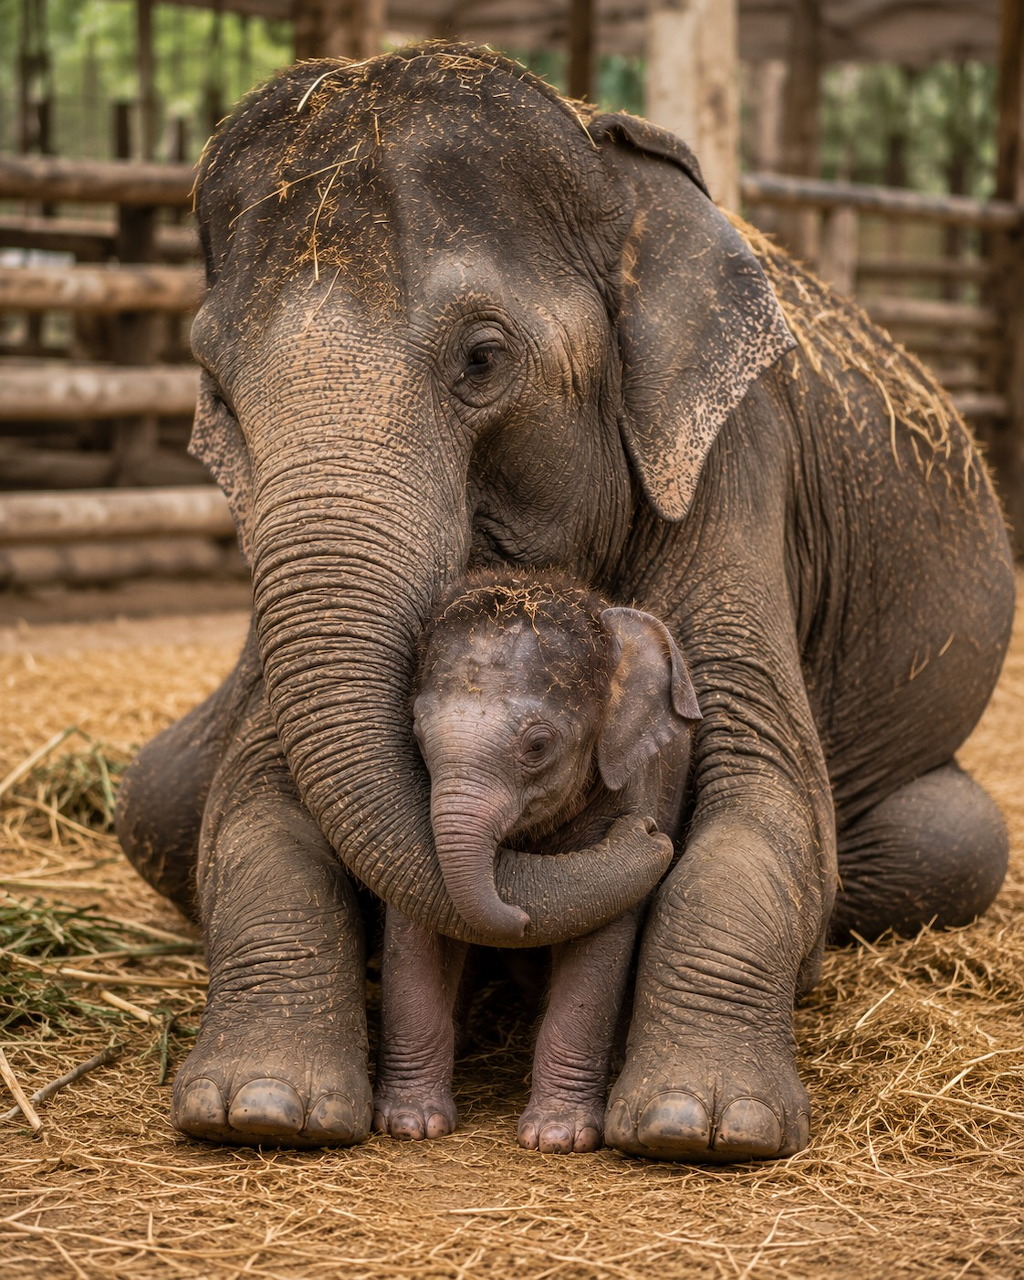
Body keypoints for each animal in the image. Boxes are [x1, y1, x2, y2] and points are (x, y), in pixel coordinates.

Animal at [375, 568, 699, 1152]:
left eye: (538, 746)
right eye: (415, 735)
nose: (648, 834)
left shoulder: (630, 783)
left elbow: (601, 943)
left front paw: (557, 1138)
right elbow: (412, 927)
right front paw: (411, 1125)